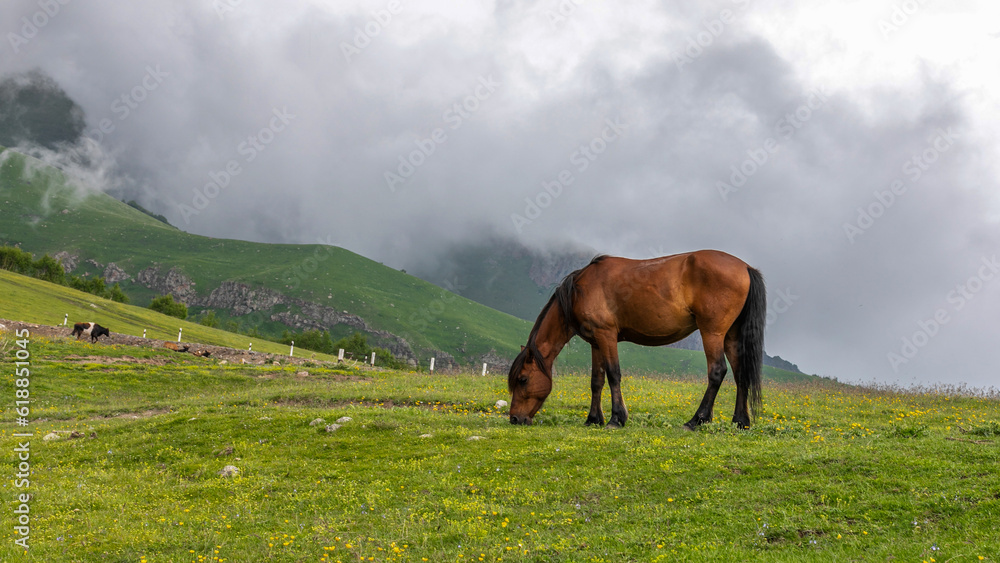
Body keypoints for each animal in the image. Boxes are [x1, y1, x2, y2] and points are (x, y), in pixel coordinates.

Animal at [508, 250, 766, 429]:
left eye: (522, 379)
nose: (514, 419)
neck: (578, 291)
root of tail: (745, 267)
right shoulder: (595, 342)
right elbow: (596, 381)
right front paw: (593, 419)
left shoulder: (606, 335)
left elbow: (613, 374)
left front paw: (616, 418)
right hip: (731, 336)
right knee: (740, 375)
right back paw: (740, 421)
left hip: (712, 333)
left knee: (717, 371)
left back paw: (696, 420)